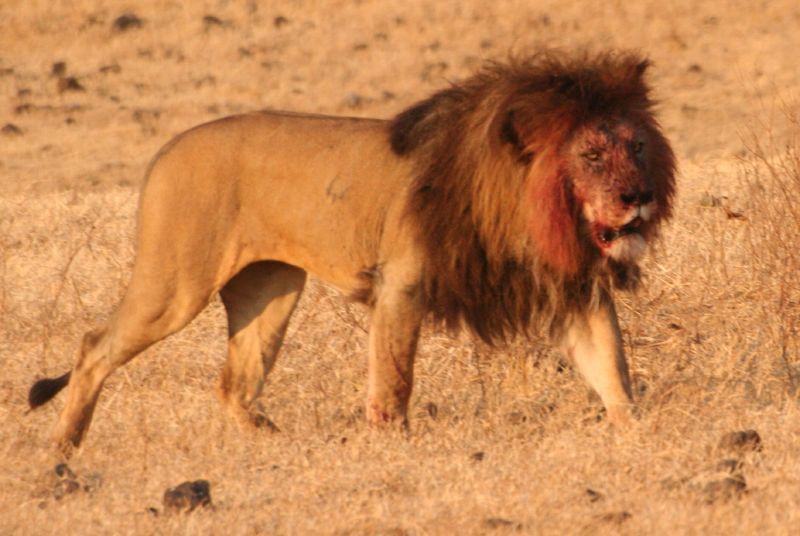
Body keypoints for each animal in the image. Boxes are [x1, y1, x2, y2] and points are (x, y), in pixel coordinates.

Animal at [28, 50, 676, 454]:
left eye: (638, 147)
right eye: (591, 155)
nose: (639, 197)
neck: (529, 211)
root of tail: (167, 148)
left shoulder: (575, 289)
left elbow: (612, 370)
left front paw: (640, 435)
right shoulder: (402, 283)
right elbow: (394, 380)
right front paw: (393, 446)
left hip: (271, 290)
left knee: (233, 384)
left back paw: (278, 445)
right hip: (176, 284)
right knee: (93, 347)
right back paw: (64, 449)